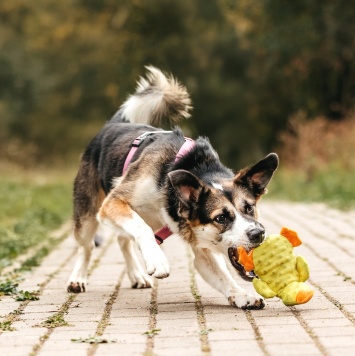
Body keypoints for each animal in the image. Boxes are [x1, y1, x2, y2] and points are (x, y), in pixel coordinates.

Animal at [68, 66, 280, 308]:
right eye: (221, 218)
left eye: (249, 208)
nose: (258, 233)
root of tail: (113, 124)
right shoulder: (113, 202)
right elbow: (141, 229)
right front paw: (158, 260)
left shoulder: (200, 243)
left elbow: (221, 275)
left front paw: (242, 294)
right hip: (88, 214)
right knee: (87, 246)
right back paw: (78, 278)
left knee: (123, 239)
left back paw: (136, 274)